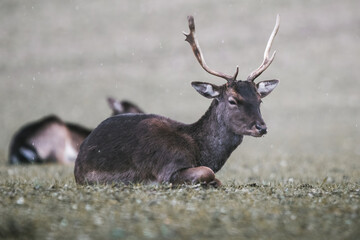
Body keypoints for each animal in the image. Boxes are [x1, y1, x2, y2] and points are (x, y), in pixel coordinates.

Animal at [74, 15, 282, 187]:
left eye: (259, 100)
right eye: (233, 100)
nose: (261, 127)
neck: (199, 151)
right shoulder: (166, 170)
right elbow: (207, 172)